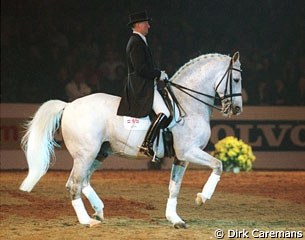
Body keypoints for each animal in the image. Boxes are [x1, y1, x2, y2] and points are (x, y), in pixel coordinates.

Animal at [19, 51, 242, 228]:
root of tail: (69, 105)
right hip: (85, 154)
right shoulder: (189, 151)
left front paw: (175, 219)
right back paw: (86, 221)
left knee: (84, 181)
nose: (237, 109)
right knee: (74, 184)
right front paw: (202, 198)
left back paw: (99, 211)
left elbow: (174, 187)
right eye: (237, 80)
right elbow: (219, 164)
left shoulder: (181, 157)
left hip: (100, 152)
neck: (188, 105)